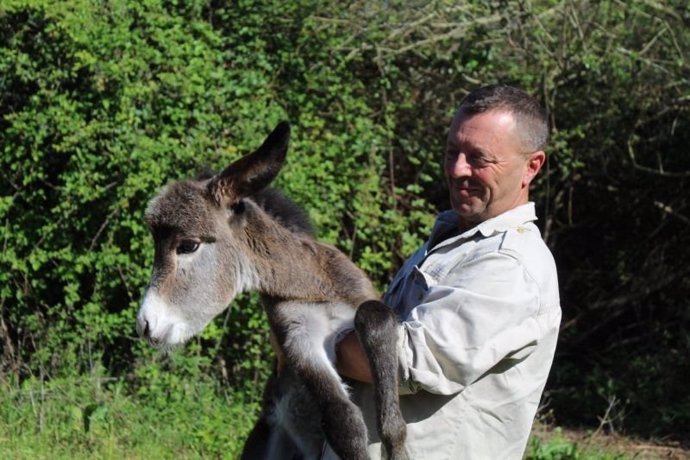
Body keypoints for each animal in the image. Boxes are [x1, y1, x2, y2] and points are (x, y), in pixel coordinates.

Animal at [135, 123, 406, 460]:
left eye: (188, 246)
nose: (144, 325)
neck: (309, 286)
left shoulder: (364, 305)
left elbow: (374, 318)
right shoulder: (297, 337)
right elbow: (345, 423)